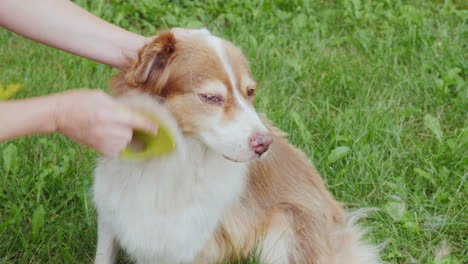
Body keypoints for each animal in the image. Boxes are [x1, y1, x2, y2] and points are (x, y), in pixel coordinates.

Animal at [92, 29, 380, 264]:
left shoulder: (189, 240)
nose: (265, 144)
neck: (172, 161)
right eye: (211, 97)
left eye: (250, 92)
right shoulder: (111, 212)